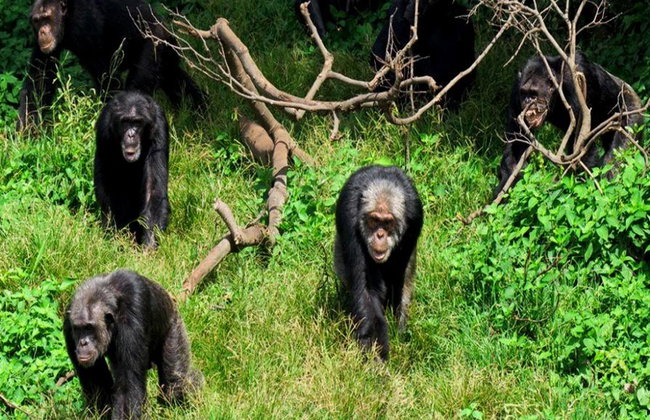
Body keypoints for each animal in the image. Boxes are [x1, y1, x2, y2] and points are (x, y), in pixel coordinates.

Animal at [334, 165, 423, 360]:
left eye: (388, 222)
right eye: (374, 220)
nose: (380, 235)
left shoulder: (414, 219)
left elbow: (399, 275)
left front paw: (399, 329)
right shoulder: (349, 216)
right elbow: (368, 292)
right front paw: (376, 357)